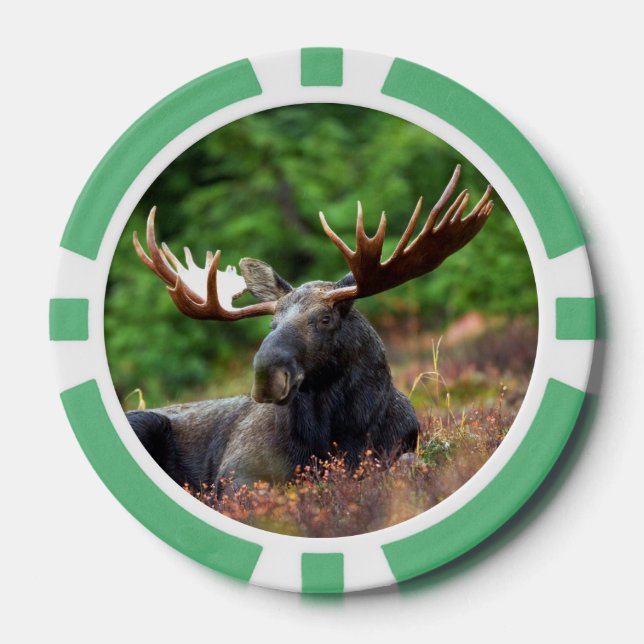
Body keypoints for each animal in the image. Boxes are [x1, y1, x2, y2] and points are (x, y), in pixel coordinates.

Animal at [126, 165, 493, 491]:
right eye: (272, 323)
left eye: (325, 318)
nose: (266, 376)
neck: (339, 434)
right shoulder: (238, 470)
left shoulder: (402, 446)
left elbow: (408, 464)